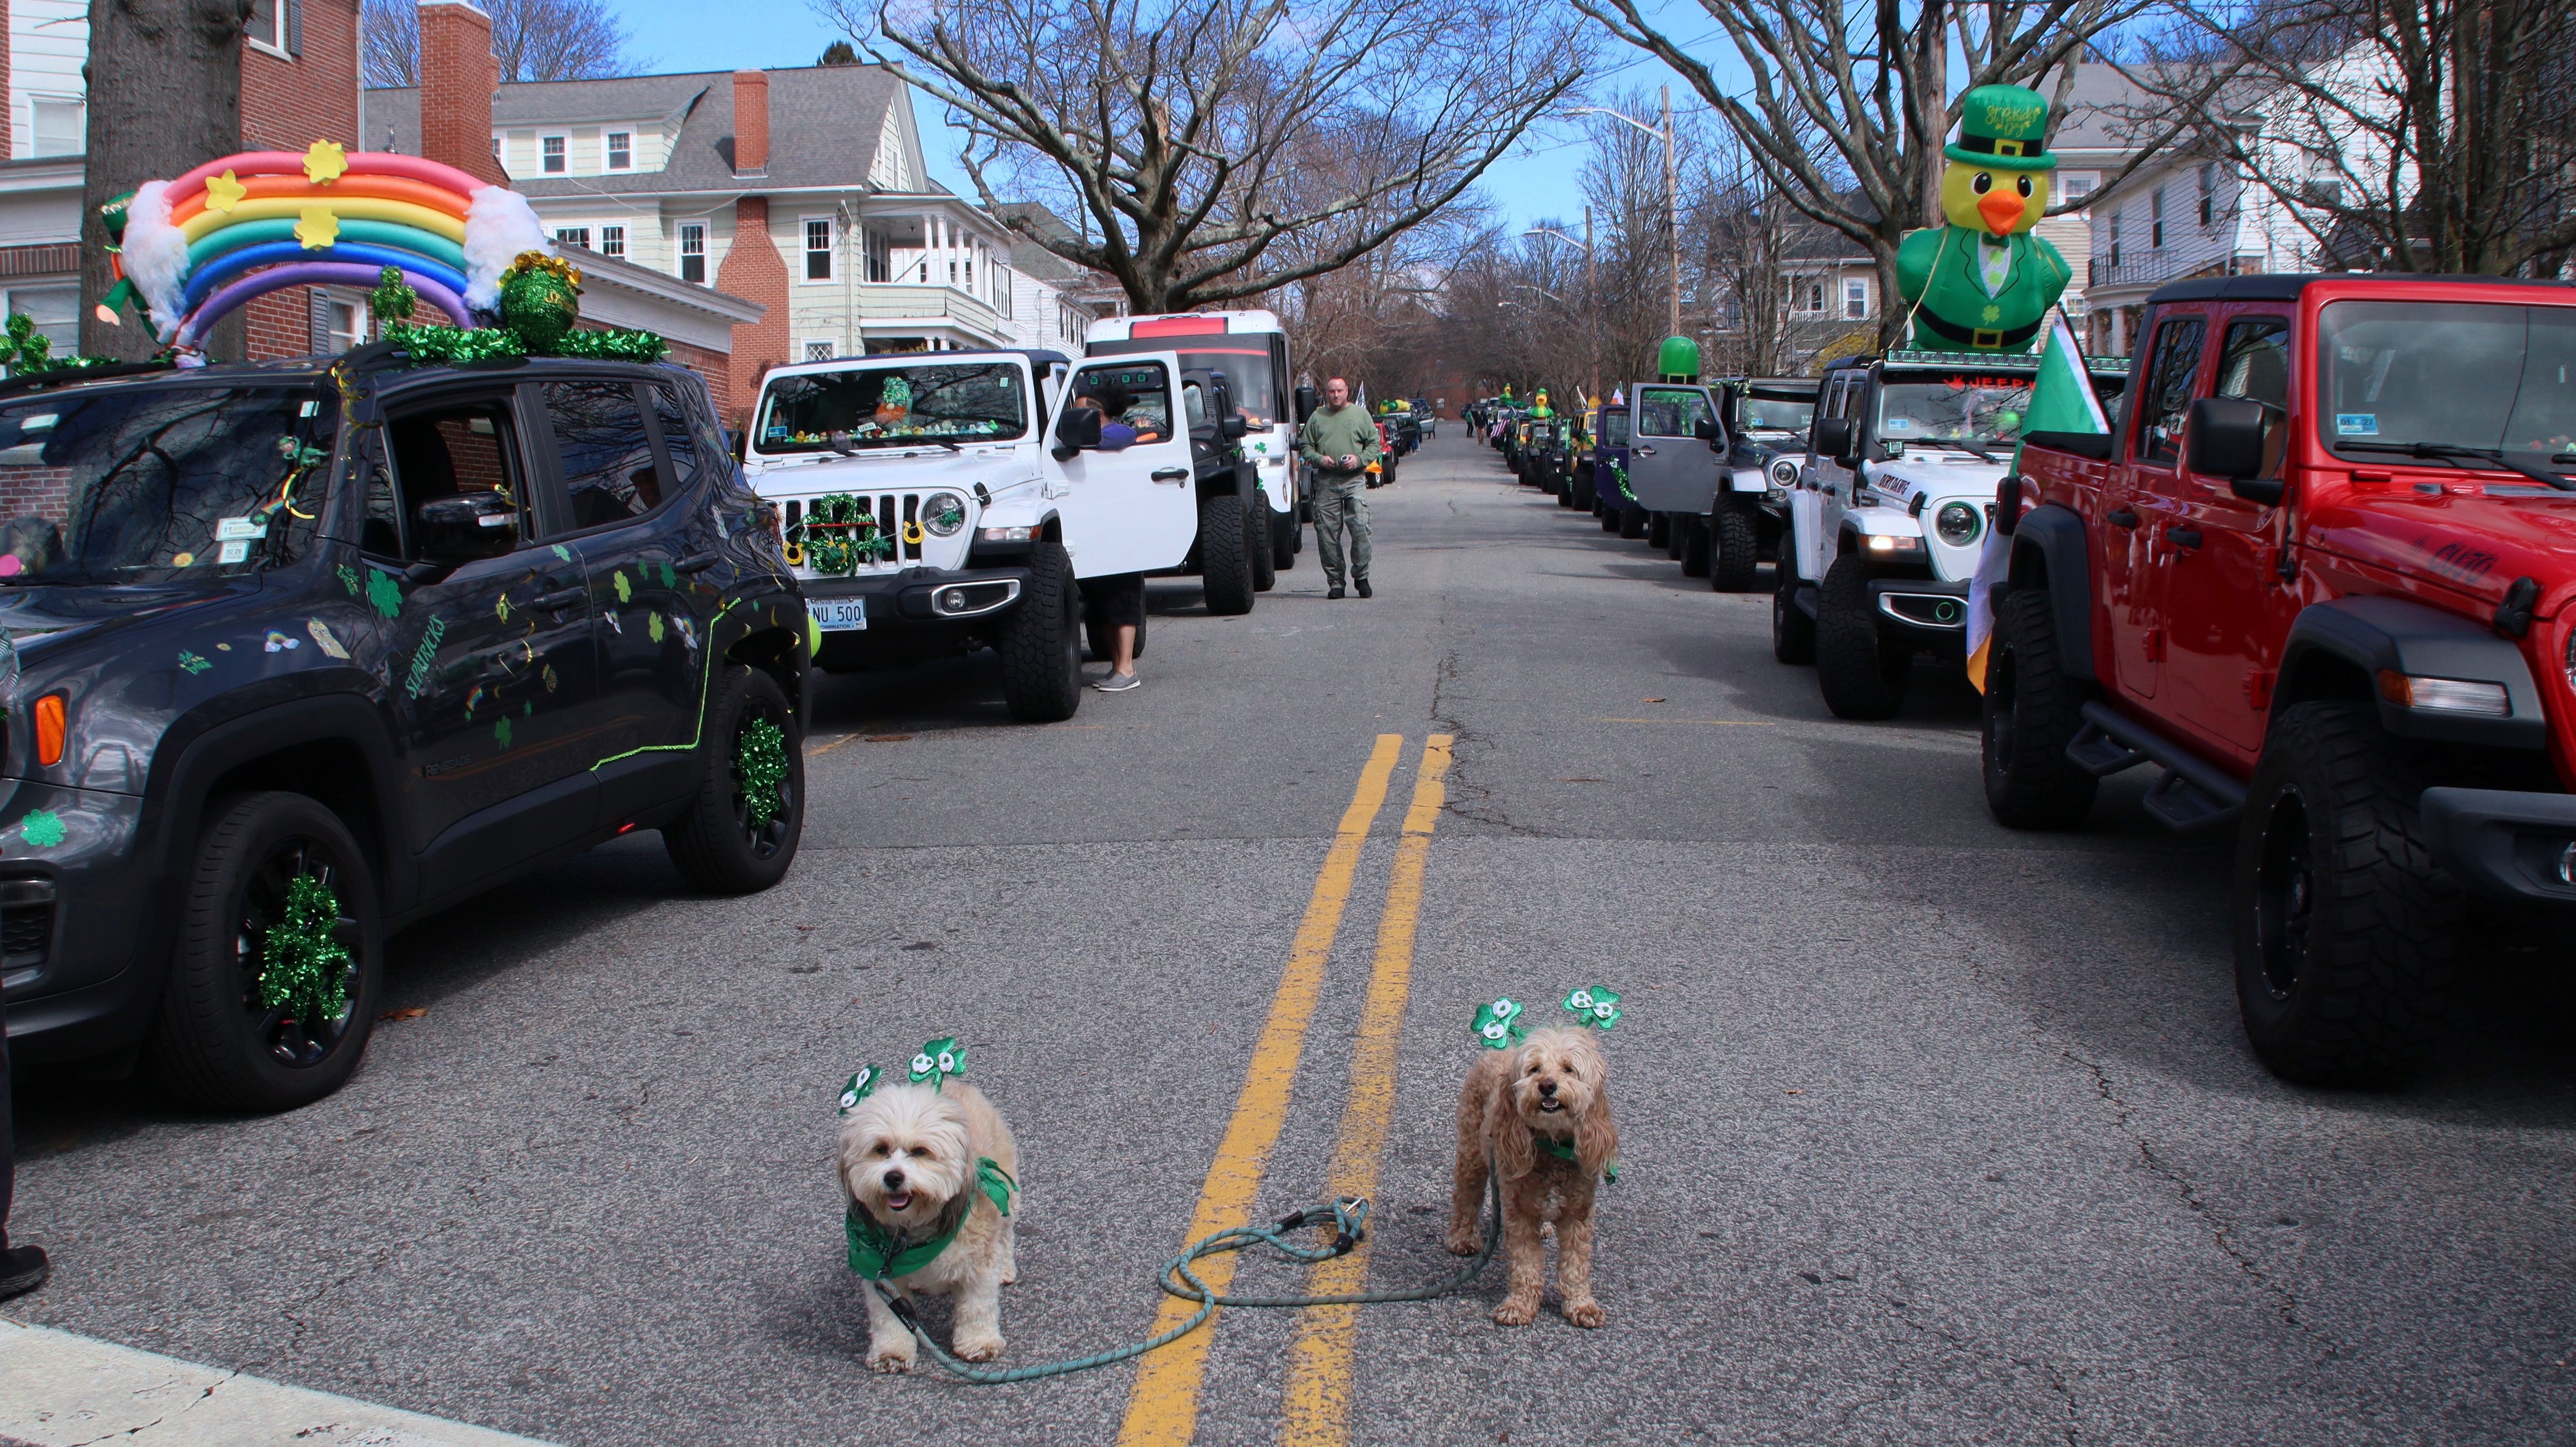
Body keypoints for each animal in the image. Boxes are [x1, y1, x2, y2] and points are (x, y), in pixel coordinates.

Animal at [837, 1081, 1021, 1372]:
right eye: (880, 1149)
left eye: (920, 1151)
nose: (893, 1177)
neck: (914, 1232)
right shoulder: (882, 1277)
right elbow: (888, 1317)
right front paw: (892, 1352)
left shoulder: (979, 1264)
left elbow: (977, 1305)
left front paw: (979, 1343)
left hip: (1007, 1196)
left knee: (1005, 1235)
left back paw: (1005, 1268)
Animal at [1446, 1025, 1617, 1327]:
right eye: (1535, 1069)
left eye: (1569, 1069)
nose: (1547, 1085)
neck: (1553, 1146)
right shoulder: (1520, 1214)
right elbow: (1525, 1264)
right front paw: (1519, 1305)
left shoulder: (1579, 1214)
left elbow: (1576, 1265)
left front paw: (1582, 1306)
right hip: (1472, 1151)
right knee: (1467, 1196)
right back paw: (1463, 1238)